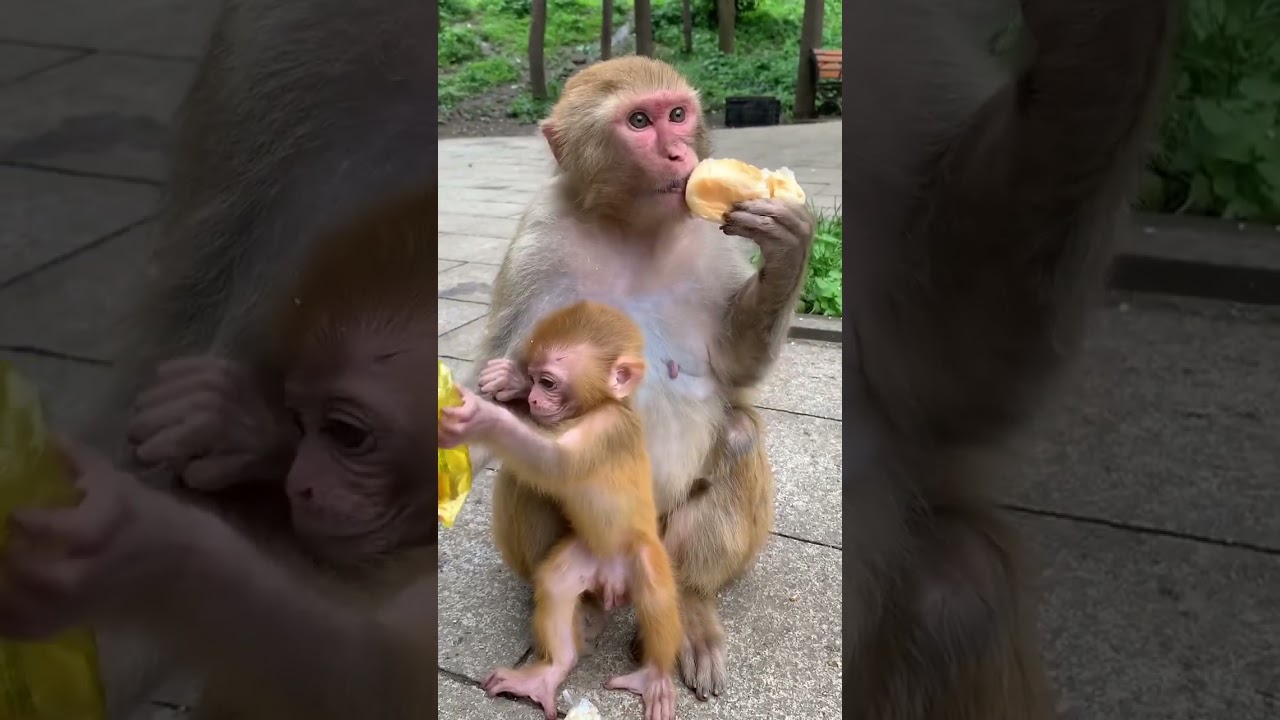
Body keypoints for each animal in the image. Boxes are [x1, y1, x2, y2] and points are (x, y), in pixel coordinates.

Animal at [0, 187, 441, 720]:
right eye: (301, 423)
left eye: (345, 433)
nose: (300, 486)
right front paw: (236, 425)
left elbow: (377, 679)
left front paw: (149, 549)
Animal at [441, 300, 681, 720]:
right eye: (536, 380)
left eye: (549, 383)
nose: (535, 399)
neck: (597, 407)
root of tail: (610, 579)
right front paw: (510, 384)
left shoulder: (608, 430)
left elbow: (557, 464)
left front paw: (482, 418)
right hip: (585, 557)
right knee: (555, 583)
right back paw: (551, 671)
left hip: (641, 551)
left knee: (656, 594)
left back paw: (655, 676)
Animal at [471, 55, 809, 701]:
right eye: (638, 122)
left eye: (677, 114)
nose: (679, 153)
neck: (630, 226)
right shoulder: (536, 240)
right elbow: (497, 378)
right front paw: (509, 387)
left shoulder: (711, 243)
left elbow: (735, 367)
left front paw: (785, 246)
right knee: (533, 458)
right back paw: (573, 614)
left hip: (662, 551)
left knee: (736, 437)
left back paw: (694, 608)